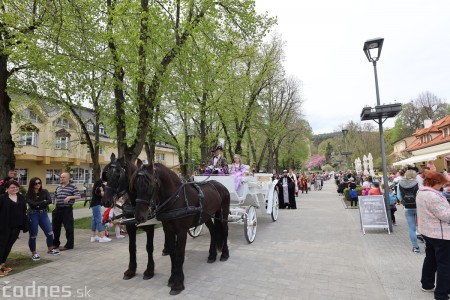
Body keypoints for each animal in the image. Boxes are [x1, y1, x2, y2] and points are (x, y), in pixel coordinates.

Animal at [129, 161, 229, 294]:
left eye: (149, 186)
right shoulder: (168, 231)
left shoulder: (182, 232)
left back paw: (224, 254)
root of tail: (219, 185)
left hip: (223, 213)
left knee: (225, 231)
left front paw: (178, 283)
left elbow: (180, 255)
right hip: (207, 216)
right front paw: (172, 278)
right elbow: (173, 255)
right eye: (135, 186)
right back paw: (212, 255)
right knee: (213, 232)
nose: (139, 216)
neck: (176, 199)